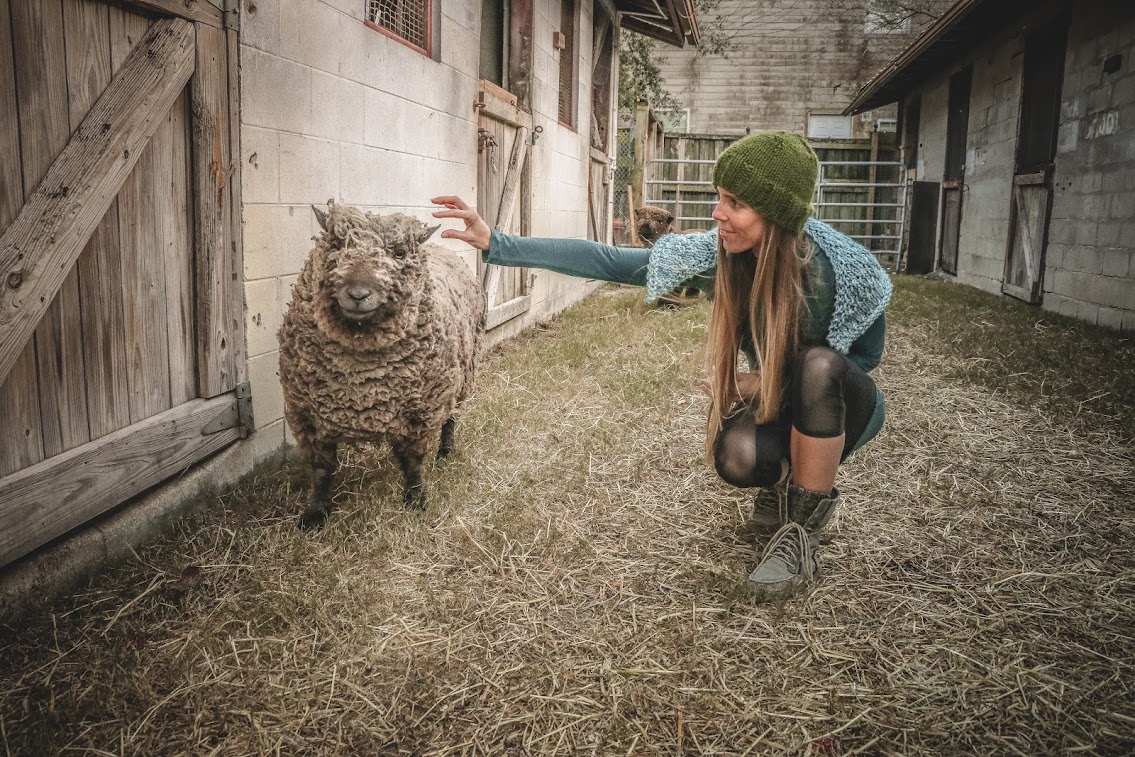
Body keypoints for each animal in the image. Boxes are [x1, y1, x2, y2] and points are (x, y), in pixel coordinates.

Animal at [281, 204, 485, 531]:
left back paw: (445, 452)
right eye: (336, 244)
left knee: (451, 418)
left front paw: (415, 501)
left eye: (399, 253)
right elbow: (321, 470)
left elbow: (413, 463)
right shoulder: (308, 416)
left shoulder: (420, 412)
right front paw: (315, 513)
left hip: (461, 377)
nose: (358, 294)